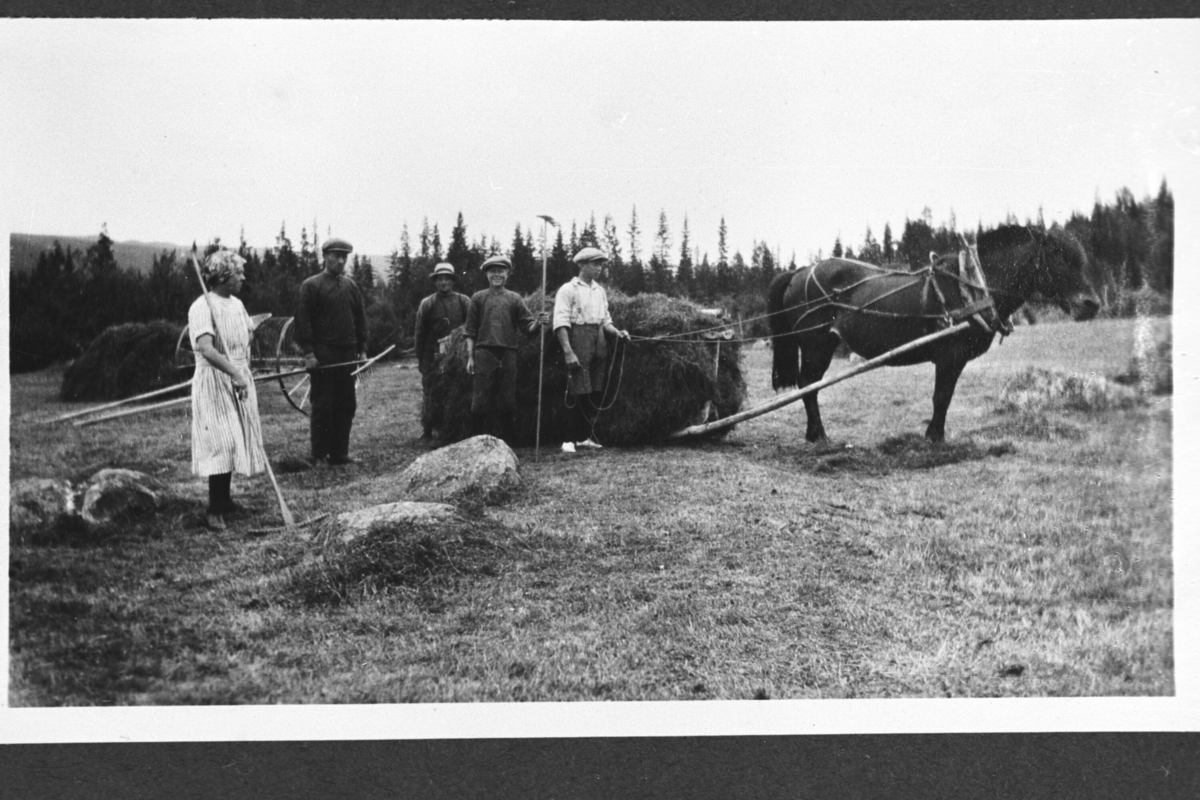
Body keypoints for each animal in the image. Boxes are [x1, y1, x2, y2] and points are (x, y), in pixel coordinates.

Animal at [768, 225, 1099, 443]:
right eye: (1058, 257)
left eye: (1082, 259)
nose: (1092, 304)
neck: (970, 286)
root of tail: (799, 271)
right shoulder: (949, 356)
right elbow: (941, 396)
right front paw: (934, 437)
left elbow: (945, 397)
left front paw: (934, 434)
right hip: (816, 345)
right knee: (808, 385)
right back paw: (818, 434)